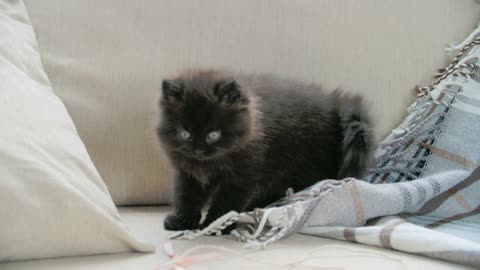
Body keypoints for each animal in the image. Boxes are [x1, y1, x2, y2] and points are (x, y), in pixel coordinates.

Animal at [158, 69, 376, 232]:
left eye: (214, 134)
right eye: (184, 133)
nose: (198, 149)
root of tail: (335, 104)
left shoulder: (243, 175)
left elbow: (227, 201)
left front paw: (216, 224)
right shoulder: (188, 173)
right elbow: (185, 196)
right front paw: (181, 221)